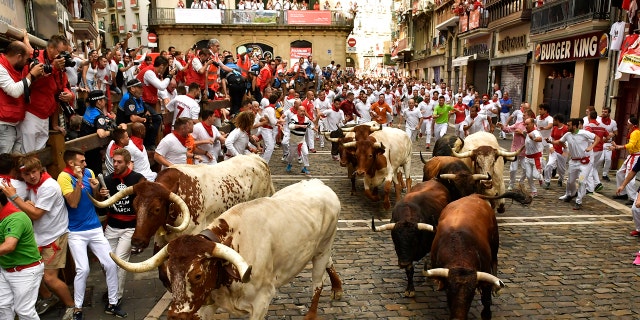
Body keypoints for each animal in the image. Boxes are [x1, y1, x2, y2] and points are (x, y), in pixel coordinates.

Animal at [111, 179, 340, 318]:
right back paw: (337, 288)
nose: (176, 315)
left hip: (323, 247)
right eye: (168, 273)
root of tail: (319, 183)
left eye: (197, 275)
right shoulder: (206, 305)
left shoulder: (262, 302)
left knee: (317, 283)